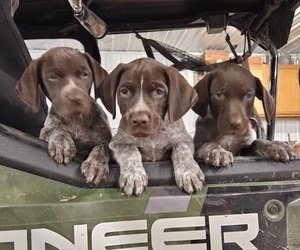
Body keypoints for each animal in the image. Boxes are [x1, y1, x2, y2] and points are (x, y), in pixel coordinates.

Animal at [15, 47, 111, 185]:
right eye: (52, 77)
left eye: (85, 74)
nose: (76, 99)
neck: (77, 118)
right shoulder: (44, 132)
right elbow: (56, 129)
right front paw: (62, 142)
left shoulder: (106, 140)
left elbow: (102, 148)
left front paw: (96, 164)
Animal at [99, 57, 205, 196]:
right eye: (124, 91)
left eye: (159, 92)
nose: (139, 120)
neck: (152, 137)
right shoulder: (116, 143)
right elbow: (130, 150)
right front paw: (134, 174)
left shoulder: (185, 139)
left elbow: (181, 149)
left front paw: (189, 172)